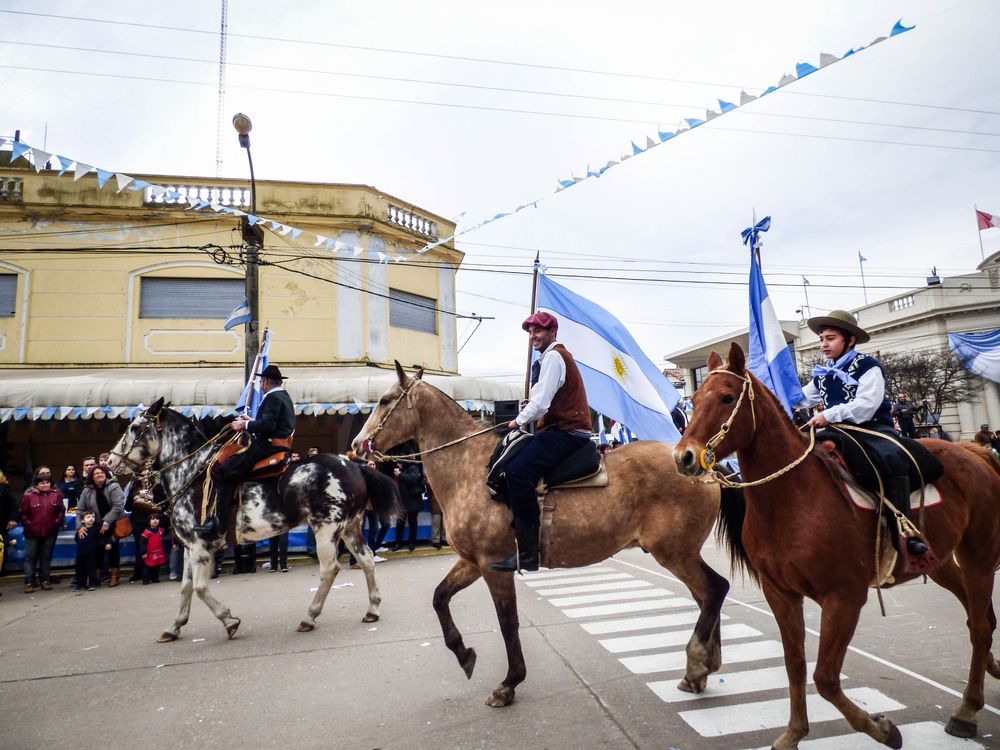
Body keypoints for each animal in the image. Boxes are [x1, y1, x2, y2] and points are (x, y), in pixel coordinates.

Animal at [102, 400, 398, 640]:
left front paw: (229, 620)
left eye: (135, 427)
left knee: (330, 569)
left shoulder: (200, 546)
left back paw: (309, 617)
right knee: (366, 559)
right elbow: (186, 588)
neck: (191, 472)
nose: (110, 463)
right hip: (350, 527)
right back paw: (372, 608)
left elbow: (200, 588)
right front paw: (174, 627)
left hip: (326, 529)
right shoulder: (188, 547)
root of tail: (354, 465)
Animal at [354, 364, 736, 712]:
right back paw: (703, 668)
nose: (358, 445)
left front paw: (509, 683)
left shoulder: (494, 566)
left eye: (385, 400)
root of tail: (702, 464)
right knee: (706, 597)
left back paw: (697, 664)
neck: (470, 468)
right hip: (681, 554)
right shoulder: (471, 562)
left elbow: (508, 623)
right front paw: (464, 654)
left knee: (714, 590)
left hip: (675, 553)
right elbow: (439, 598)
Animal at [672, 342, 1000, 750]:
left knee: (980, 625)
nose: (684, 457)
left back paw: (966, 710)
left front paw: (882, 728)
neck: (793, 498)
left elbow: (826, 678)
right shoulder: (780, 592)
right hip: (941, 563)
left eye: (727, 397)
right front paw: (794, 733)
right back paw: (989, 670)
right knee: (978, 617)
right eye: (695, 399)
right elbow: (795, 663)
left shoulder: (844, 597)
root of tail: (975, 452)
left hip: (978, 555)